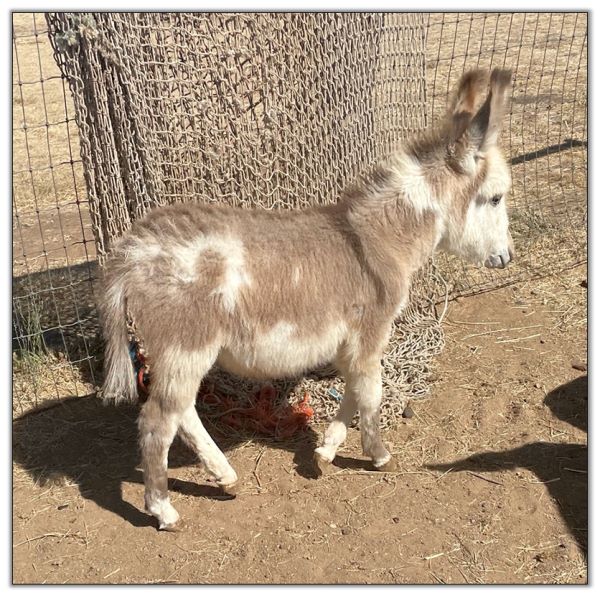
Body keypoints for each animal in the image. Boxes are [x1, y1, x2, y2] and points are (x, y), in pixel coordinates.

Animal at [99, 67, 516, 528]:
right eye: (495, 197)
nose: (507, 257)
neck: (376, 239)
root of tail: (131, 250)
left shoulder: (350, 342)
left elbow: (353, 390)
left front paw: (326, 449)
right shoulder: (372, 332)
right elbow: (371, 393)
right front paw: (379, 455)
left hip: (178, 351)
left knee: (182, 412)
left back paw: (225, 477)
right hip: (185, 344)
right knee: (157, 421)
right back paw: (163, 509)